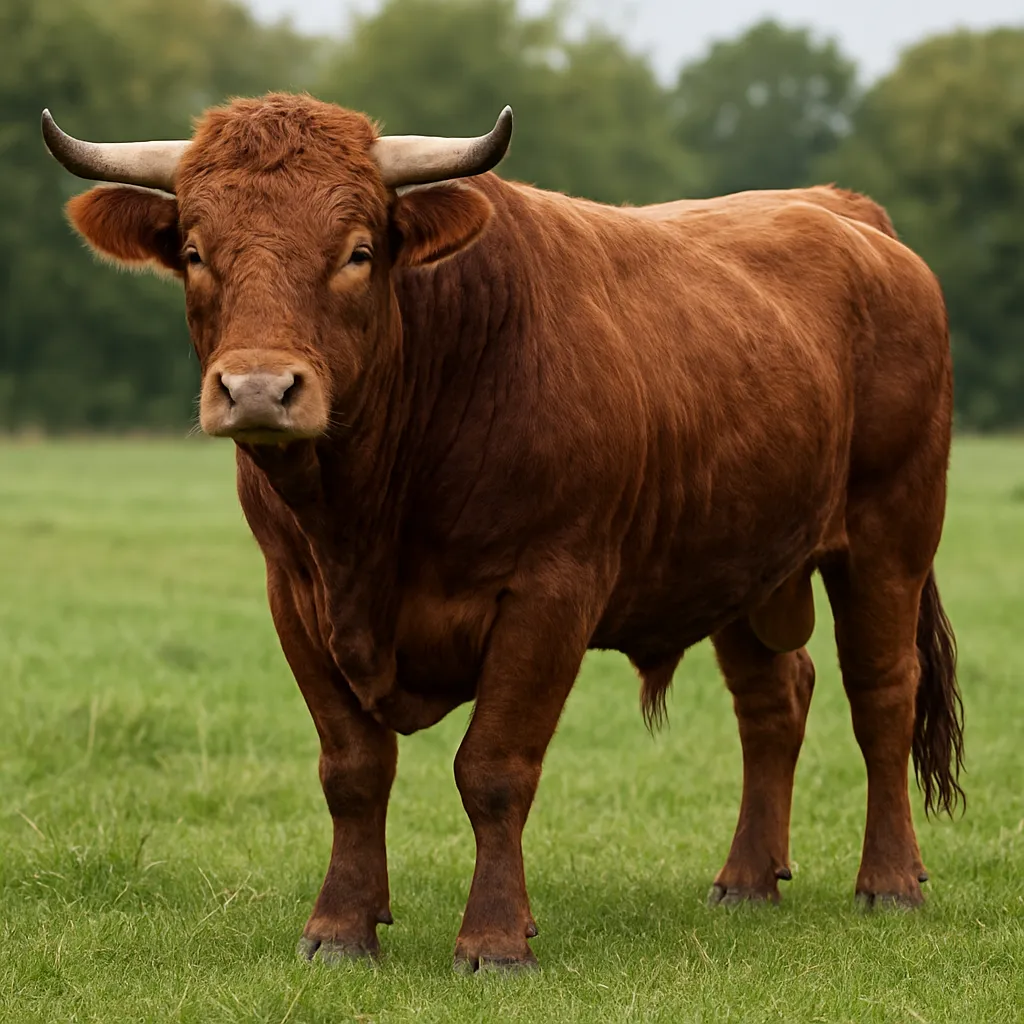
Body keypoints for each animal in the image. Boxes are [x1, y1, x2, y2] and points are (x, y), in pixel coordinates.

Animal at [42, 93, 963, 973]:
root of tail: (840, 210)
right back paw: (745, 881)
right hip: (743, 563)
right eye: (197, 252)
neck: (367, 515)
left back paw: (889, 882)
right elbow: (353, 770)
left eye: (358, 252)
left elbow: (492, 769)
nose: (260, 390)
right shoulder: (295, 596)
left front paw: (493, 940)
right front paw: (340, 929)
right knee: (774, 700)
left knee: (882, 692)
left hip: (891, 532)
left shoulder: (550, 591)